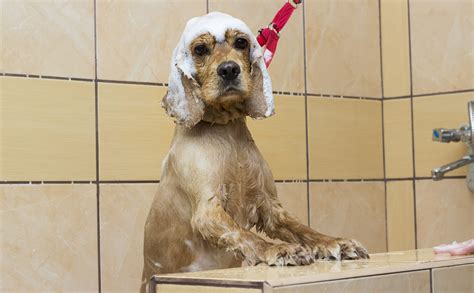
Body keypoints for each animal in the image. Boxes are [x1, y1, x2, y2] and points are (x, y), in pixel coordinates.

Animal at [141, 11, 370, 290]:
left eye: (241, 42)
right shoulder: (207, 211)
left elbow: (302, 229)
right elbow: (244, 234)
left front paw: (336, 243)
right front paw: (279, 250)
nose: (229, 69)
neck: (226, 131)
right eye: (200, 49)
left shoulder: (269, 205)